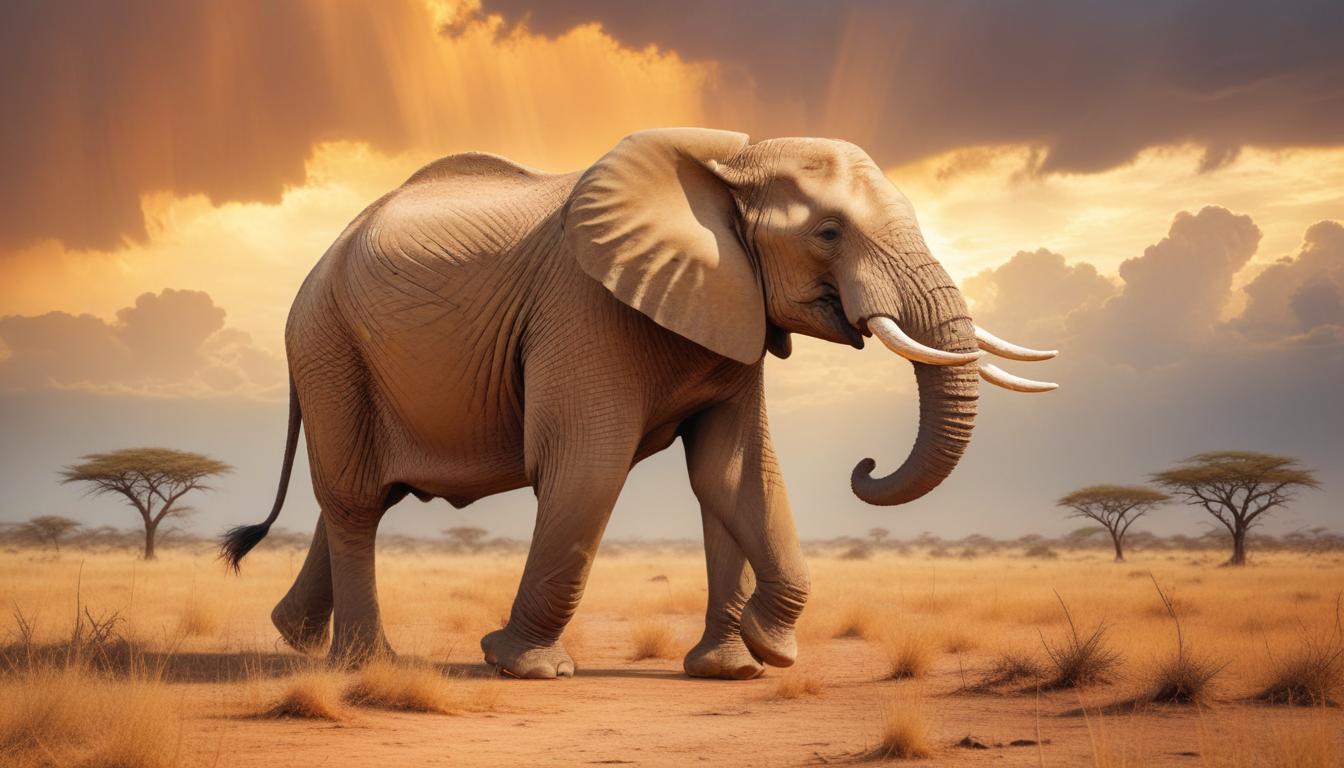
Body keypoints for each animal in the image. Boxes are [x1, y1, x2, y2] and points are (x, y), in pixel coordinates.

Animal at [220, 128, 1057, 680]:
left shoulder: (731, 311)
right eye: (827, 232)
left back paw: (295, 638)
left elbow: (732, 475)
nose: (866, 465)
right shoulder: (584, 308)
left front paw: (747, 660)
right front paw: (521, 667)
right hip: (329, 344)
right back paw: (369, 665)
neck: (729, 164)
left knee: (366, 492)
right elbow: (587, 467)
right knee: (358, 497)